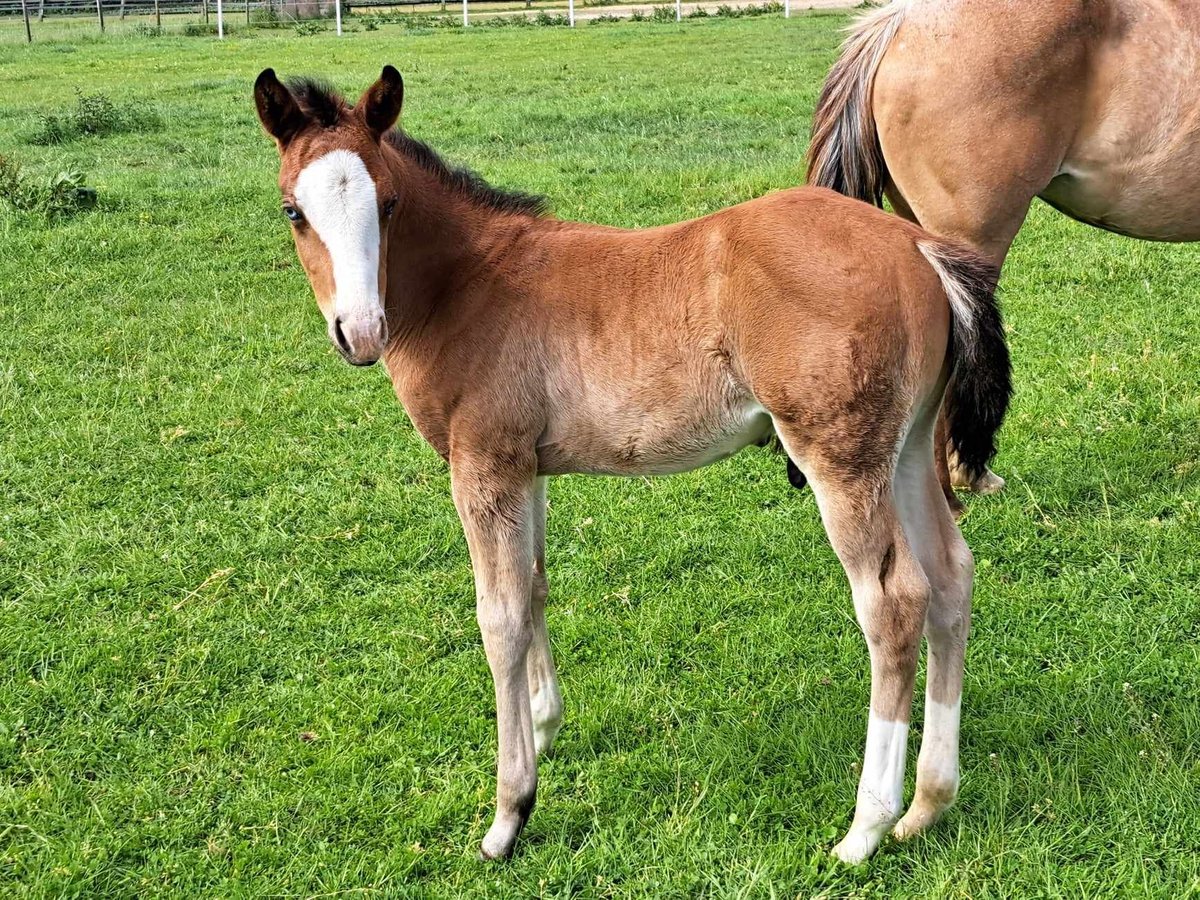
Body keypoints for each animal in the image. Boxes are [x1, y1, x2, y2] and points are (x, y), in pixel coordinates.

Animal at [253, 65, 1012, 868]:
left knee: (893, 603)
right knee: (951, 577)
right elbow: (535, 586)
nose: (360, 332)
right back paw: (928, 803)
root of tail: (918, 245)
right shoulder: (527, 468)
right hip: (907, 449)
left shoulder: (483, 465)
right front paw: (545, 728)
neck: (468, 283)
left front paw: (509, 812)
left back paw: (866, 826)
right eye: (293, 211)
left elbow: (499, 617)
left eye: (389, 202)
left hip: (842, 459)